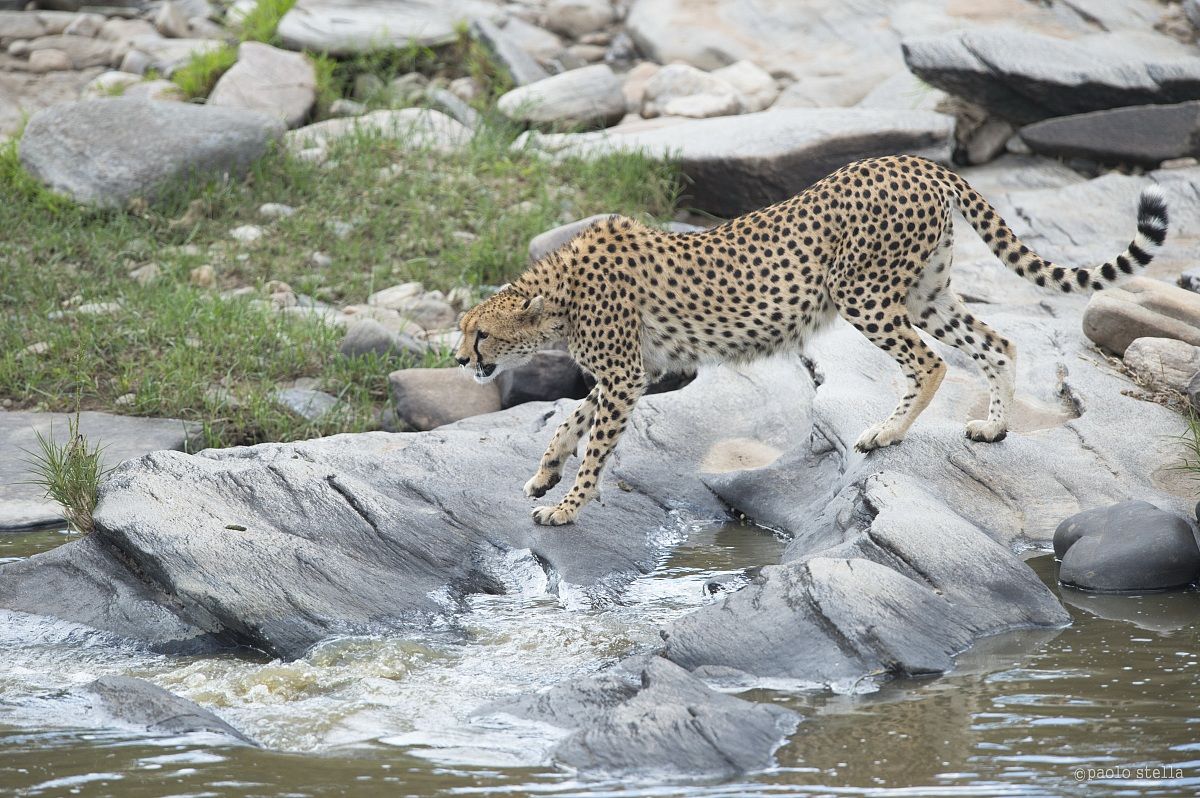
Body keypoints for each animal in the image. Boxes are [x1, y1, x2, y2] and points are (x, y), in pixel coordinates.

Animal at [455, 155, 1169, 526]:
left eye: (480, 333)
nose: (461, 359)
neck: (557, 296)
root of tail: (916, 160)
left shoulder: (629, 375)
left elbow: (596, 442)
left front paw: (567, 505)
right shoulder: (639, 372)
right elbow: (572, 417)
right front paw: (545, 474)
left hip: (865, 294)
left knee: (930, 362)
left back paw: (885, 433)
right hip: (925, 292)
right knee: (996, 344)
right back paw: (993, 428)